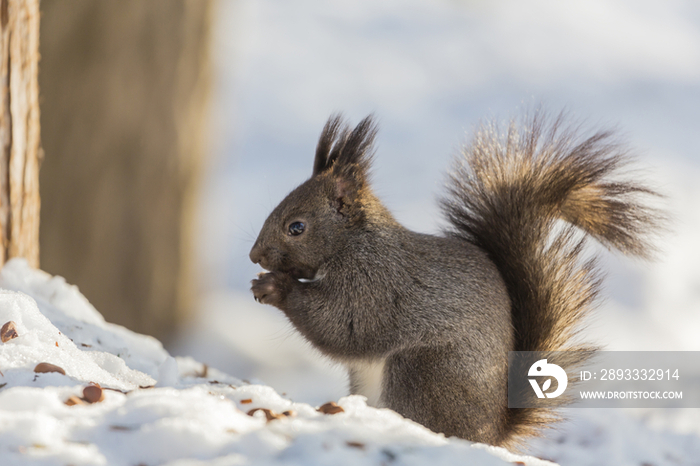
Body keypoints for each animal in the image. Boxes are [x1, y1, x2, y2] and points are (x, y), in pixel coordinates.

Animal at [249, 110, 660, 448]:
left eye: (296, 227)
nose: (255, 256)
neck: (355, 242)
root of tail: (492, 434)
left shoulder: (375, 284)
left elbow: (343, 325)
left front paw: (274, 287)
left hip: (424, 373)